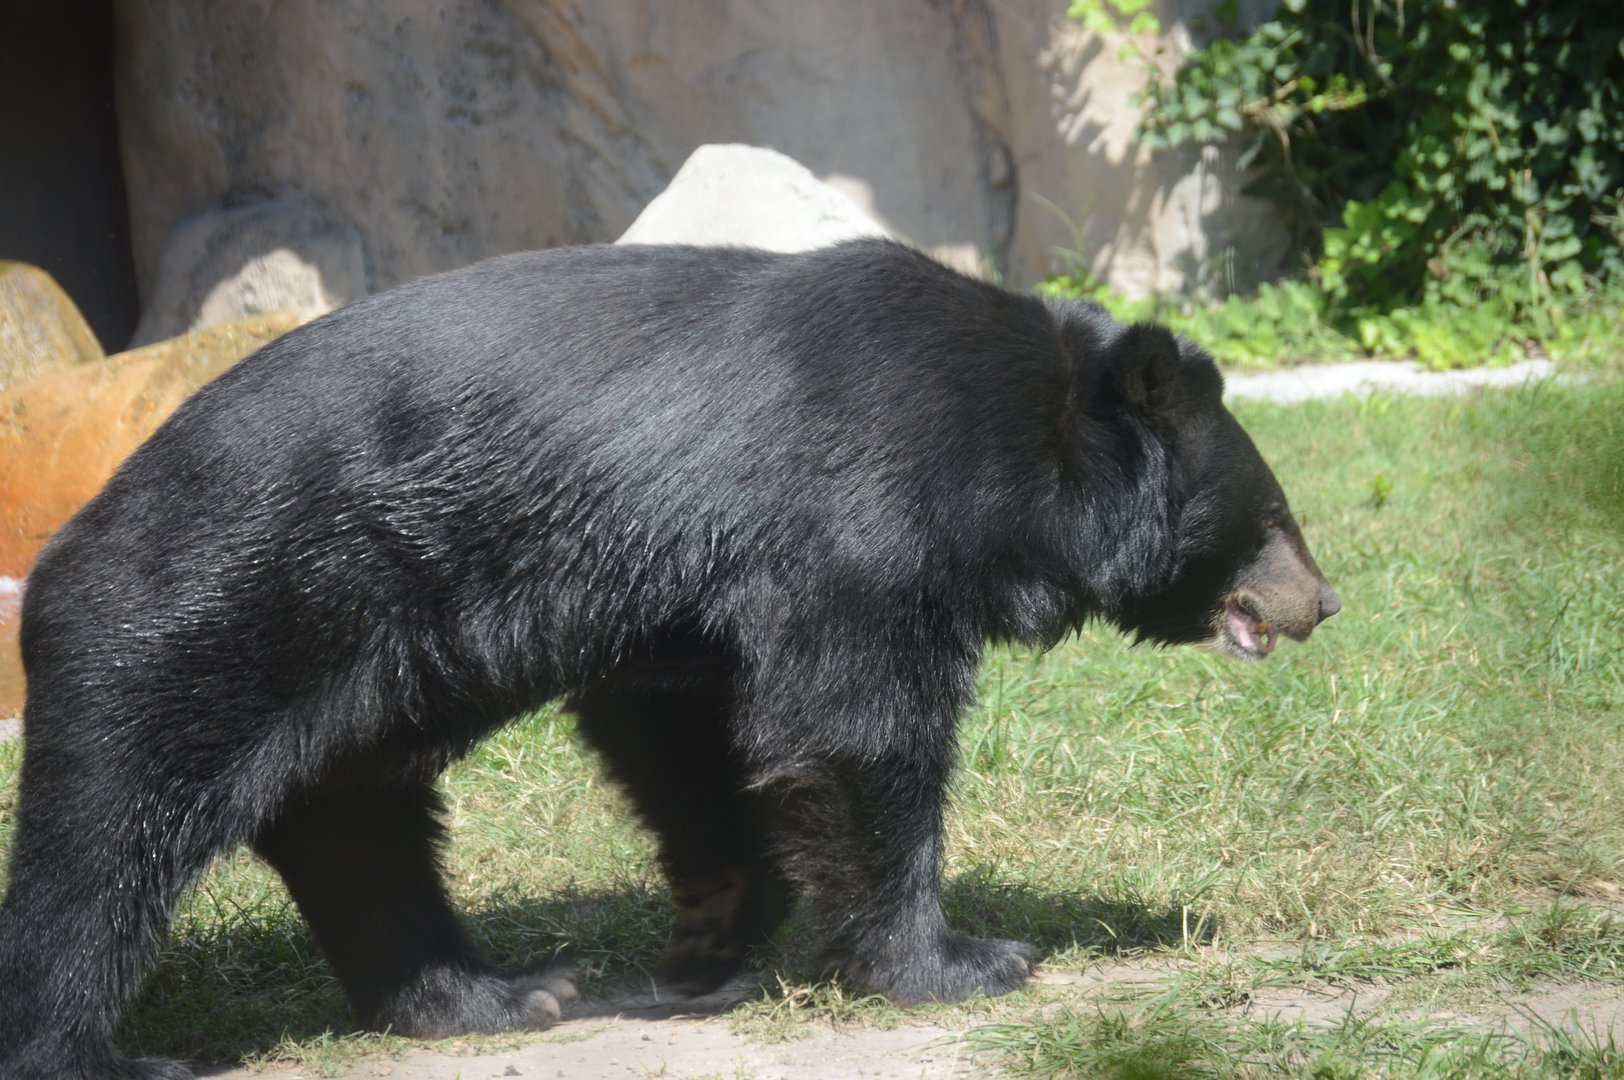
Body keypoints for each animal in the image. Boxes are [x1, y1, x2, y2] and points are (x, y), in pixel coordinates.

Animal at [0, 240, 1339, 1079]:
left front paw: (707, 935)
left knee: (354, 821)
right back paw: (105, 1054)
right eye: (1271, 518)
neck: (1014, 444)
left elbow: (682, 729)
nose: (1323, 603)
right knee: (108, 837)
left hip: (372, 650)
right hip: (206, 614)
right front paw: (964, 962)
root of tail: (69, 547)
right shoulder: (855, 512)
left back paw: (498, 994)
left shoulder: (681, 594)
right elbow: (856, 723)